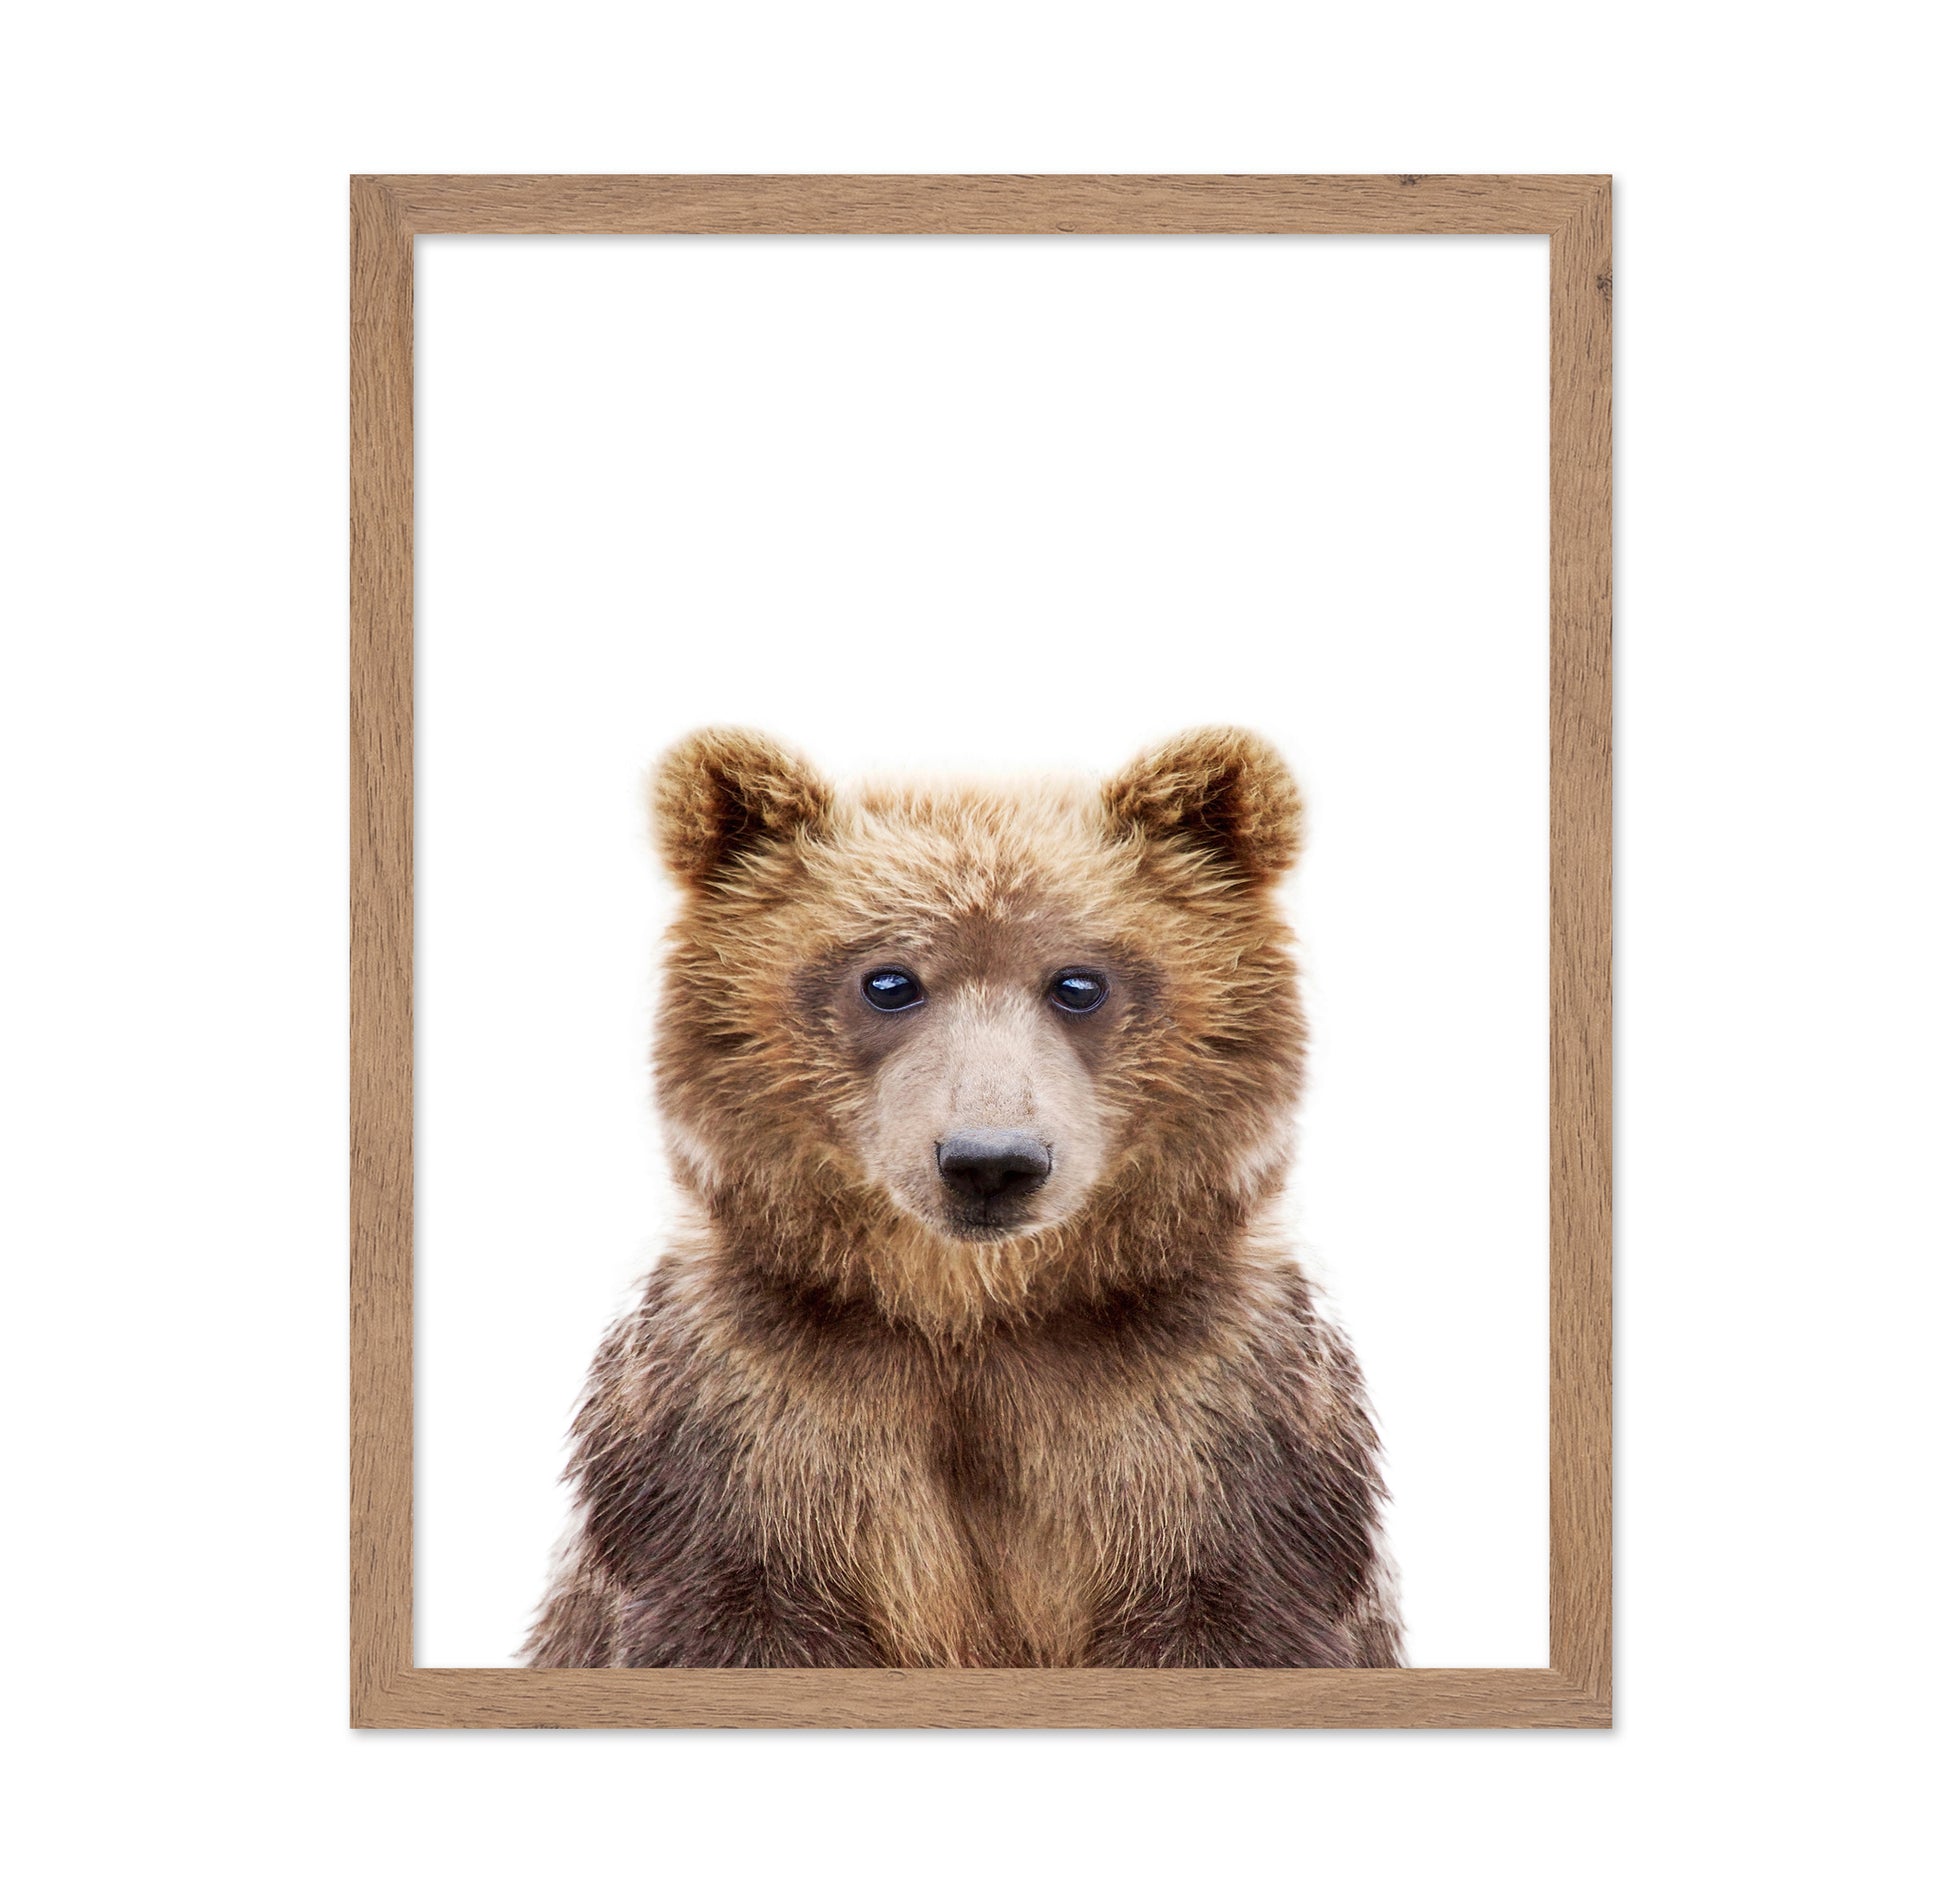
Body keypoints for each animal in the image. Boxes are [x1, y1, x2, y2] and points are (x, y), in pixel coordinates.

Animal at [522, 725, 1403, 1669]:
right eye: (889, 980)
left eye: (1078, 981)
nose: (990, 1161)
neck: (972, 1315)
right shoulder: (747, 1421)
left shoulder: (1210, 1421)